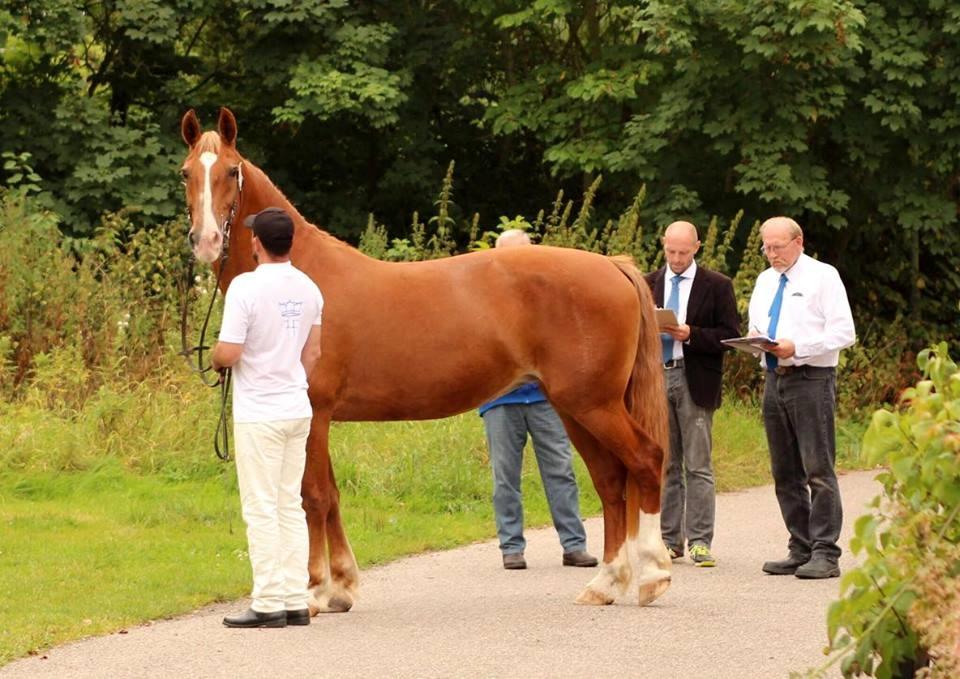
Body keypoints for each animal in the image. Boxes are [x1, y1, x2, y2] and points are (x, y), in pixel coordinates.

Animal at [184, 109, 672, 612]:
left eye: (231, 171)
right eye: (186, 173)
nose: (205, 241)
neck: (300, 271)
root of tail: (612, 265)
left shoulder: (313, 414)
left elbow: (314, 497)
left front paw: (317, 591)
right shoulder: (319, 419)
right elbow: (333, 497)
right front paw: (343, 586)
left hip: (594, 405)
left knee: (646, 461)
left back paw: (652, 575)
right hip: (577, 408)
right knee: (611, 481)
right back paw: (606, 583)